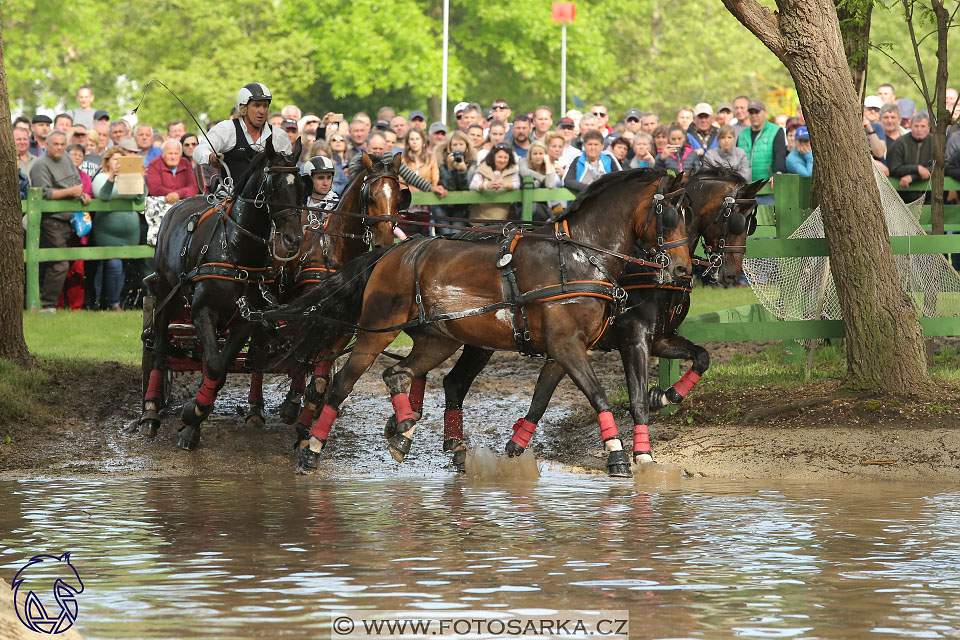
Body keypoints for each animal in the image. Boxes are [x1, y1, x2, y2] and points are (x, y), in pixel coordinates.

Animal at [139, 140, 308, 450]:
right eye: (274, 186)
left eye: (301, 187)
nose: (293, 240)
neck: (236, 249)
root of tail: (177, 206)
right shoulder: (202, 311)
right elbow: (216, 366)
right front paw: (191, 416)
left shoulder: (245, 320)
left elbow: (219, 367)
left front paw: (195, 418)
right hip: (165, 294)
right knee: (158, 349)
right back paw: (151, 412)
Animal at [244, 154, 408, 436]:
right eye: (370, 197)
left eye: (398, 197)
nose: (386, 243)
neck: (334, 248)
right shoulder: (311, 315)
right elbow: (302, 356)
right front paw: (293, 405)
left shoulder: (341, 325)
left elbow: (319, 373)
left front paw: (308, 412)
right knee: (259, 348)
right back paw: (256, 408)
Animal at [266, 168, 692, 478]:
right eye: (669, 217)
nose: (684, 270)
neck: (577, 259)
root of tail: (392, 251)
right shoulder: (567, 345)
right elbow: (599, 394)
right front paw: (618, 455)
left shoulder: (574, 347)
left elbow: (552, 396)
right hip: (377, 331)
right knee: (340, 384)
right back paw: (313, 448)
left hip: (439, 339)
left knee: (398, 374)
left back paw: (404, 430)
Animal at [428, 170, 764, 470]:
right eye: (734, 219)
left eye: (751, 223)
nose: (732, 274)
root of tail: (459, 234)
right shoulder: (633, 341)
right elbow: (634, 398)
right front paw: (640, 453)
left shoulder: (657, 339)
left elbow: (702, 357)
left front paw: (665, 396)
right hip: (477, 338)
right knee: (453, 381)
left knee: (454, 382)